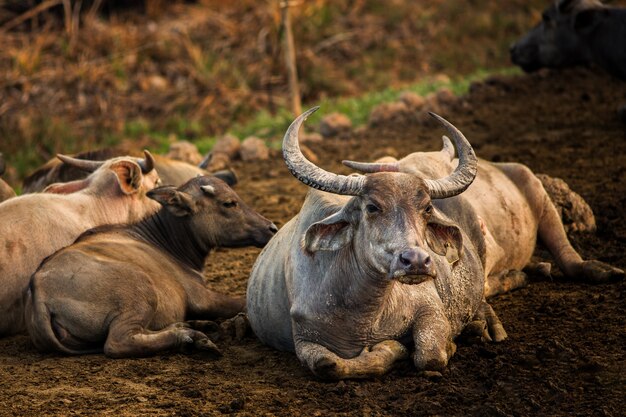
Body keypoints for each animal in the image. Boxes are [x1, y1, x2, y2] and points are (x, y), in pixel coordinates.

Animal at [26, 174, 276, 356]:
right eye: (229, 203)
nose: (271, 227)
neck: (167, 243)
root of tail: (40, 290)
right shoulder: (202, 297)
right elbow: (242, 302)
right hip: (140, 290)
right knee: (117, 342)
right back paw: (189, 337)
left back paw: (197, 328)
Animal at [245, 108, 620, 380]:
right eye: (372, 207)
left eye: (426, 209)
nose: (417, 261)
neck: (365, 309)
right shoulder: (305, 342)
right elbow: (329, 366)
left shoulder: (431, 312)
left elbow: (430, 356)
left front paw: (433, 348)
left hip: (535, 196)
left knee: (560, 260)